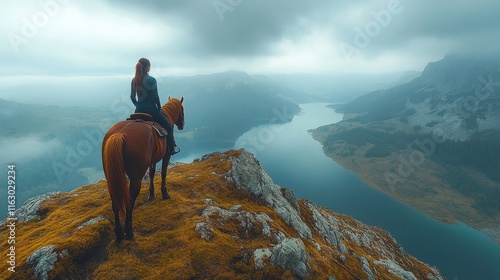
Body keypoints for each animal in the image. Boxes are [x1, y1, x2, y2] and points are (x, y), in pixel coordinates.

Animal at [101, 97, 186, 242]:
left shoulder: (152, 160)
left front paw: (151, 194)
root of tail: (119, 134)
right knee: (130, 200)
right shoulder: (166, 155)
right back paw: (129, 231)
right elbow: (163, 173)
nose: (182, 125)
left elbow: (151, 173)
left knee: (115, 201)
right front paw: (165, 194)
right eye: (182, 109)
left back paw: (119, 234)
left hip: (111, 177)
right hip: (136, 177)